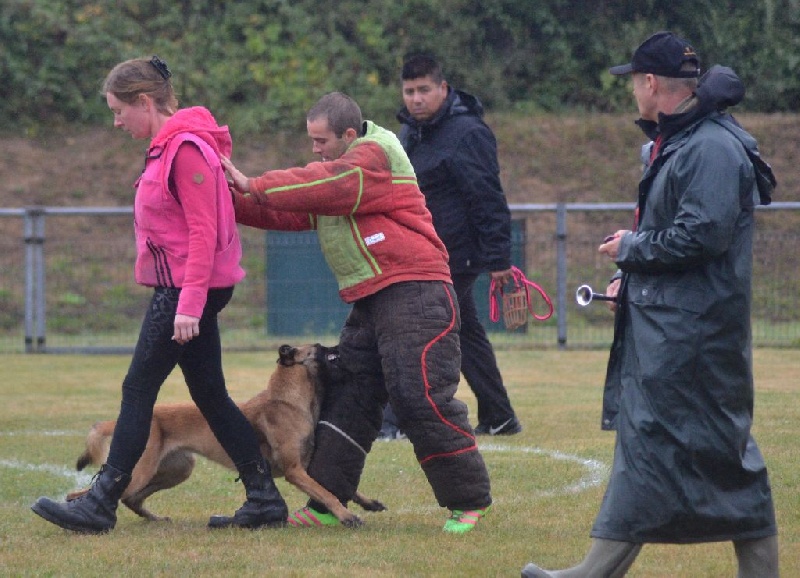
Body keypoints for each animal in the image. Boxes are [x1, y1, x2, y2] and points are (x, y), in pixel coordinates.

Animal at [65, 342, 384, 528]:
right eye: (319, 347)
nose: (341, 345)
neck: (288, 400)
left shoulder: (304, 467)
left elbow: (338, 486)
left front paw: (367, 502)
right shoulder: (295, 471)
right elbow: (327, 493)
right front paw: (346, 516)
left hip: (177, 470)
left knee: (131, 499)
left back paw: (155, 519)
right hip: (143, 471)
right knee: (83, 493)